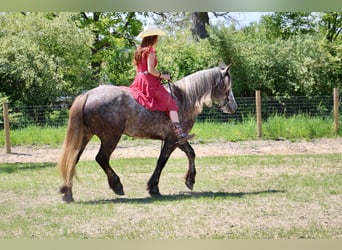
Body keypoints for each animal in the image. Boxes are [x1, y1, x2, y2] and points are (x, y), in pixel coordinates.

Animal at [57, 64, 236, 203]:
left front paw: (190, 180)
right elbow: (161, 161)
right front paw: (153, 187)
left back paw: (67, 192)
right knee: (101, 158)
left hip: (86, 136)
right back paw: (116, 185)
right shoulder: (171, 140)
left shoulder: (178, 139)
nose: (233, 107)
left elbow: (191, 153)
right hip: (110, 137)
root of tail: (87, 95)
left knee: (73, 158)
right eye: (227, 86)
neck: (183, 98)